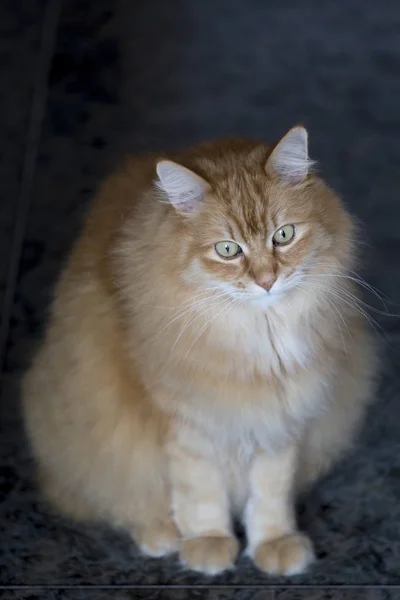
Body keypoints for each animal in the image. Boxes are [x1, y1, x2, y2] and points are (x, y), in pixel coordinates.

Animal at [23, 126, 376, 576]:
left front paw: (274, 543)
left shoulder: (279, 418)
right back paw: (159, 535)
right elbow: (200, 492)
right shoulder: (188, 423)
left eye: (283, 235)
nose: (267, 281)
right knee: (116, 497)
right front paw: (208, 543)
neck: (259, 337)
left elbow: (270, 493)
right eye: (227, 250)